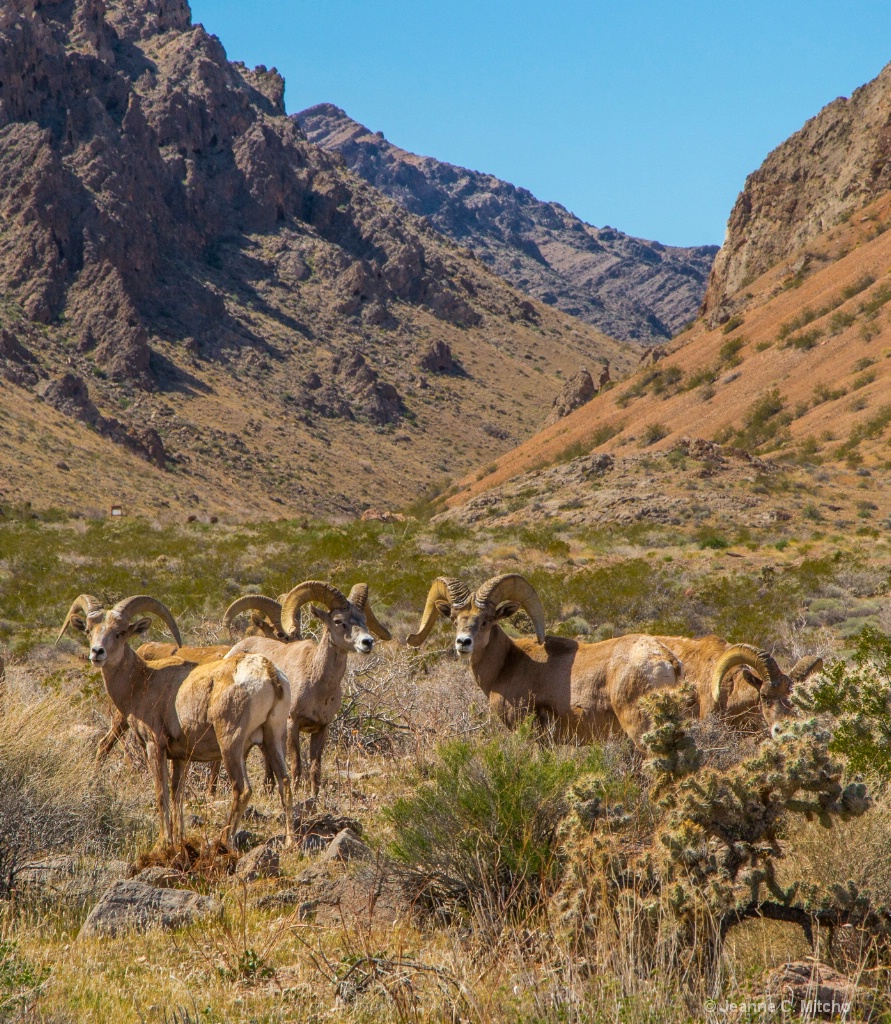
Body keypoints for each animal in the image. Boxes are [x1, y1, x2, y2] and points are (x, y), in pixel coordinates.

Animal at [60, 593, 297, 847]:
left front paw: (163, 841)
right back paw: (289, 843)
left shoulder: (155, 747)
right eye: (88, 630)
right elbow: (177, 795)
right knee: (285, 783)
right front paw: (178, 840)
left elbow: (161, 793)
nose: (97, 652)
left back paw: (224, 841)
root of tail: (269, 673)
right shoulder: (181, 758)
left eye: (120, 632)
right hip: (274, 738)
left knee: (242, 789)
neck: (142, 682)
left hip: (230, 744)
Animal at [226, 581, 391, 794]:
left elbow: (315, 769)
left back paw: (268, 787)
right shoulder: (292, 723)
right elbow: (296, 765)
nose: (367, 642)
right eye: (338, 621)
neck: (317, 685)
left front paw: (314, 795)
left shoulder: (321, 729)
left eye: (363, 620)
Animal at [409, 573, 684, 749]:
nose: (463, 643)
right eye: (454, 619)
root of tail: (667, 660)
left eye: (487, 620)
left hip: (640, 728)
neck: (507, 665)